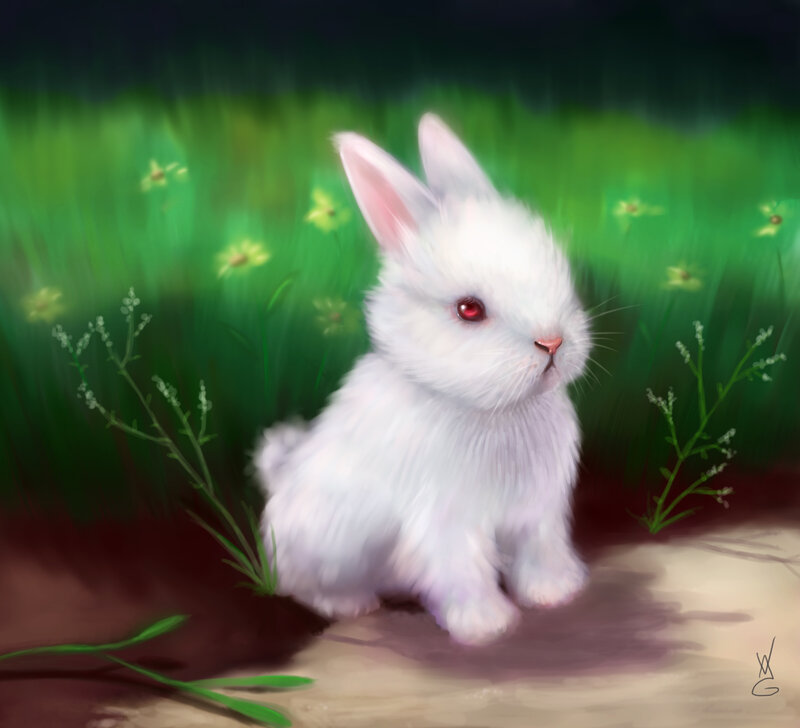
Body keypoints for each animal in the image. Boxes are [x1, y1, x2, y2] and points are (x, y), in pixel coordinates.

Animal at [254, 113, 592, 646]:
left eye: (559, 277)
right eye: (469, 309)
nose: (553, 342)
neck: (493, 409)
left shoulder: (537, 514)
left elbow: (540, 552)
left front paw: (556, 592)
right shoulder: (445, 523)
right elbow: (462, 570)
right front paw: (487, 626)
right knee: (303, 585)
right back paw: (350, 604)